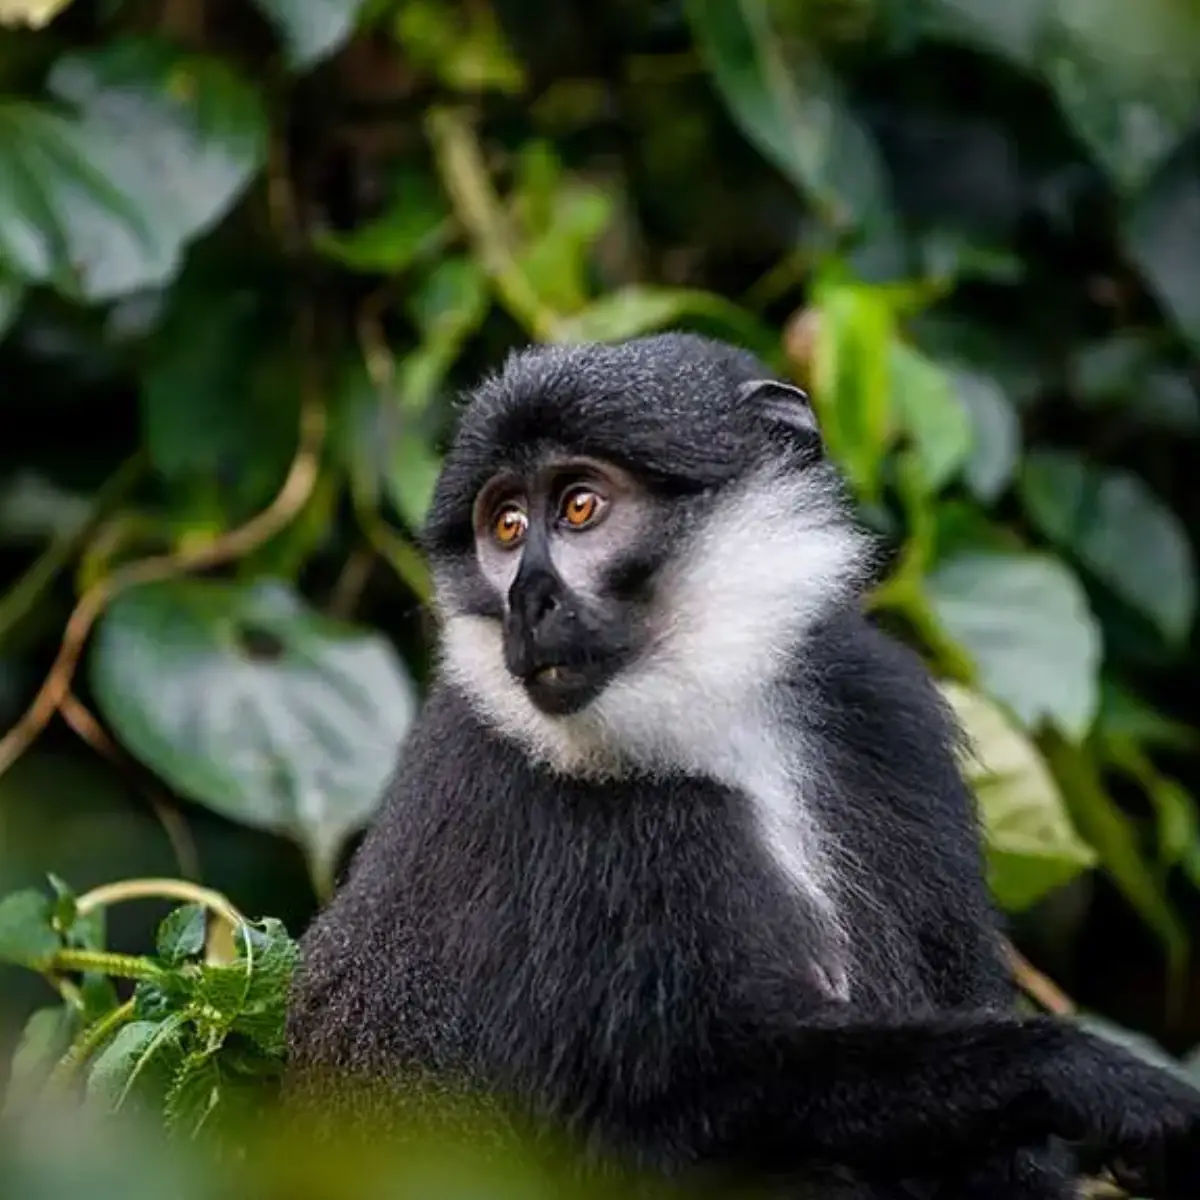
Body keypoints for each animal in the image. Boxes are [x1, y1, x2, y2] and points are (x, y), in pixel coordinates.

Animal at [286, 333, 1200, 1198]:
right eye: (506, 527)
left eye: (579, 506)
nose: (525, 600)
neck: (714, 719)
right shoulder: (591, 813)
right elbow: (687, 1105)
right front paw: (1086, 1075)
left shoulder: (885, 711)